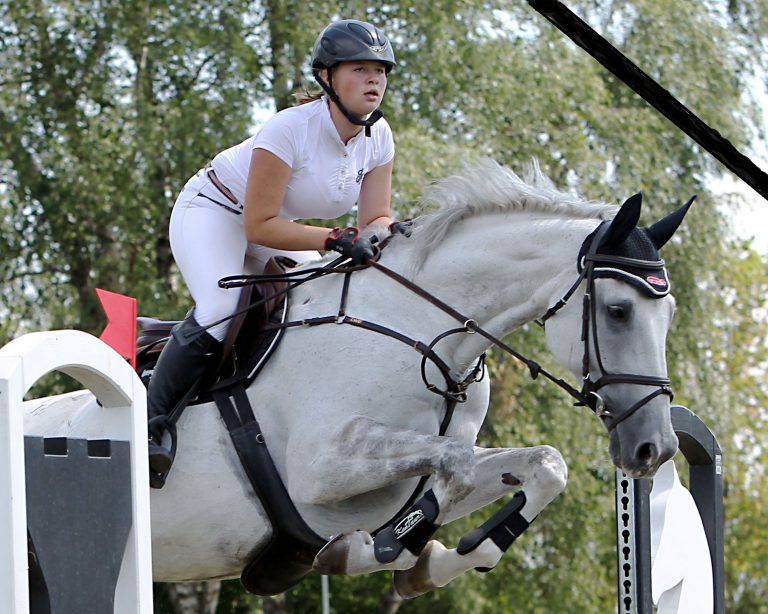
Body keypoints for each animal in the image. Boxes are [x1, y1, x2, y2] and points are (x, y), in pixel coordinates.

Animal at [22, 164, 688, 600]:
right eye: (619, 312)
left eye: (671, 314)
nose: (654, 450)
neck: (426, 336)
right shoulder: (321, 465)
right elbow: (447, 466)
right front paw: (379, 550)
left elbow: (541, 465)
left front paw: (430, 562)